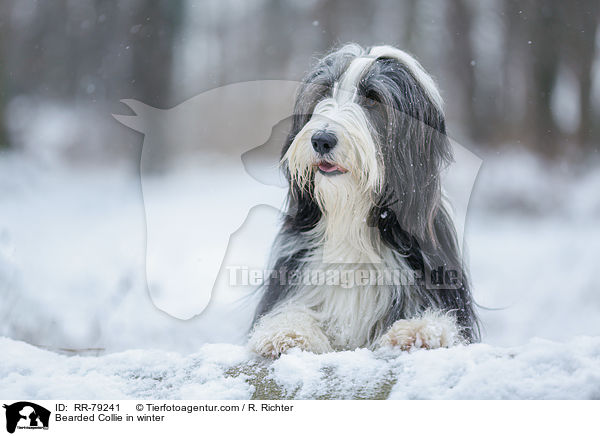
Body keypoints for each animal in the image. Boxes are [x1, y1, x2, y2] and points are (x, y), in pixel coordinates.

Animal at [247, 43, 478, 358]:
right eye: (324, 92)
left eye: (372, 99)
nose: (322, 139)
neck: (352, 223)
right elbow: (292, 310)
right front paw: (288, 331)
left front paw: (419, 329)